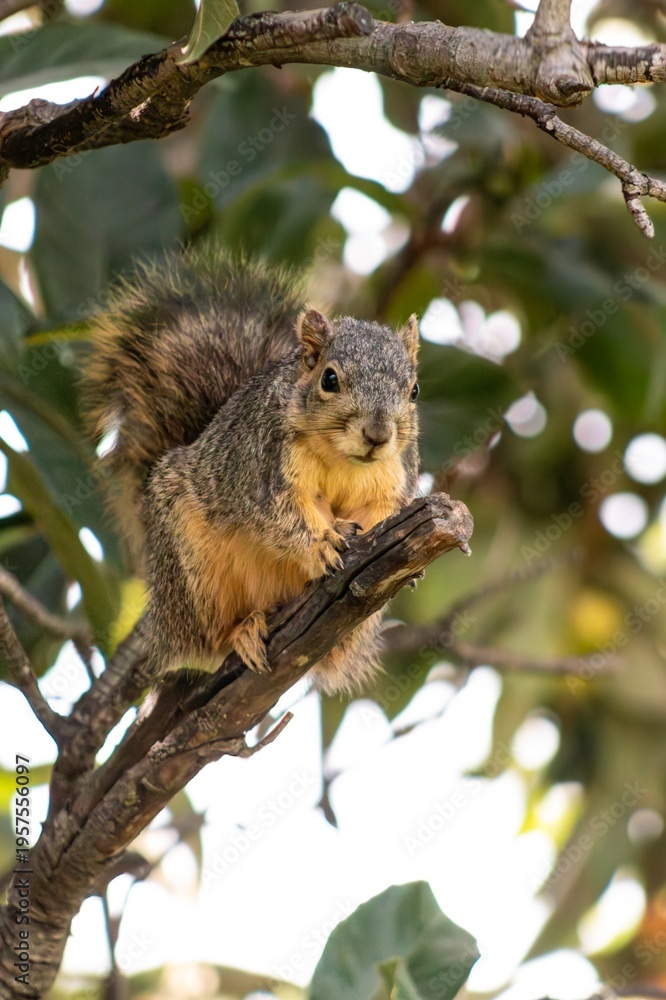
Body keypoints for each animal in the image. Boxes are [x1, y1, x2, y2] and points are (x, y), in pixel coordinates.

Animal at [82, 244, 420, 695]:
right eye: (329, 379)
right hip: (195, 573)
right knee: (208, 641)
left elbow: (382, 514)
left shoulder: (394, 477)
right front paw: (321, 544)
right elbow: (281, 518)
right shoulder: (262, 471)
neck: (343, 461)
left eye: (414, 390)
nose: (378, 435)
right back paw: (240, 632)